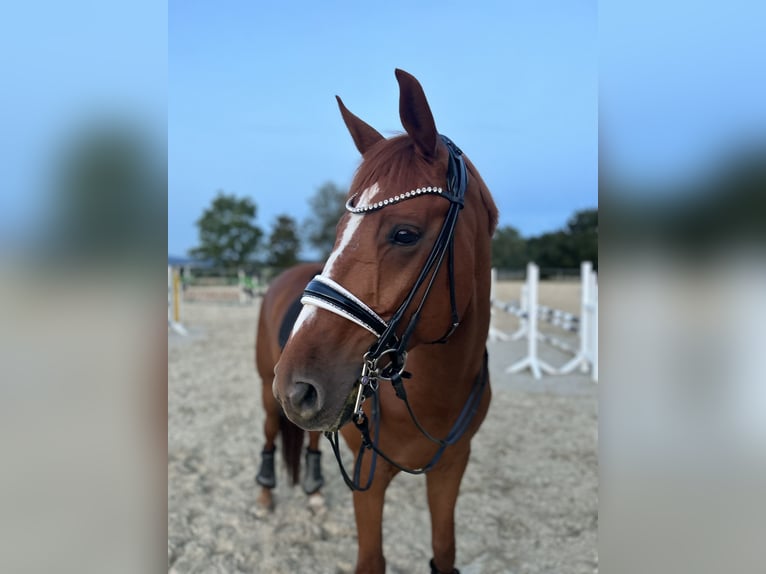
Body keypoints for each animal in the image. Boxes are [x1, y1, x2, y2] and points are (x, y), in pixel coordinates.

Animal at [272, 68, 500, 574]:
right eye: (340, 230)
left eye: (405, 234)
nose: (296, 387)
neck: (434, 392)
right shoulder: (369, 478)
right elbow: (371, 560)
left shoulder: (452, 466)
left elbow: (444, 552)